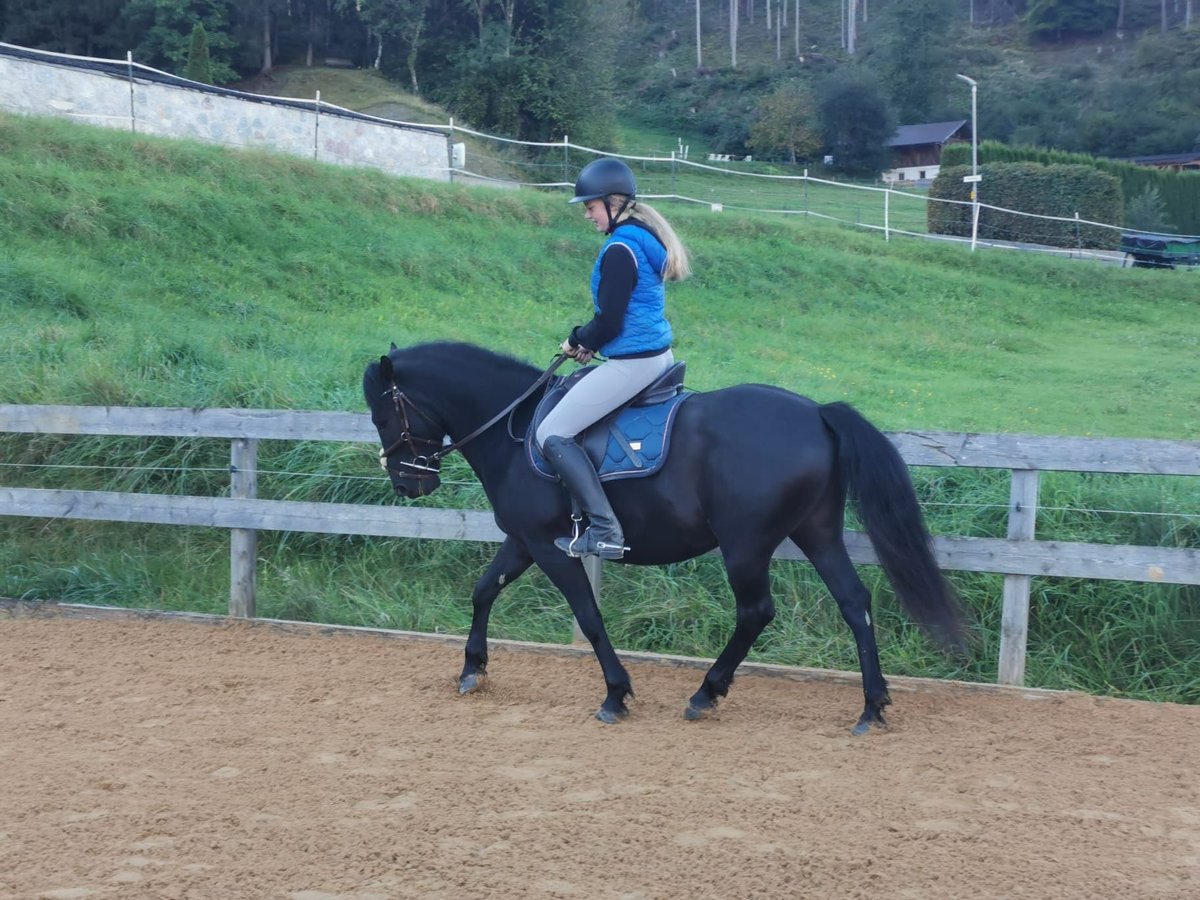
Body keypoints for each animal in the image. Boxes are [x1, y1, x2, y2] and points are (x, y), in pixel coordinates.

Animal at [362, 343, 964, 734]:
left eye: (382, 412)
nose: (408, 482)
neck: (516, 429)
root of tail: (817, 412)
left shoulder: (549, 547)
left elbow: (588, 616)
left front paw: (615, 694)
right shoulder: (524, 541)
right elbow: (484, 590)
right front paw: (472, 670)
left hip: (745, 544)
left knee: (757, 612)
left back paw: (706, 693)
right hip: (817, 533)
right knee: (854, 603)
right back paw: (872, 706)